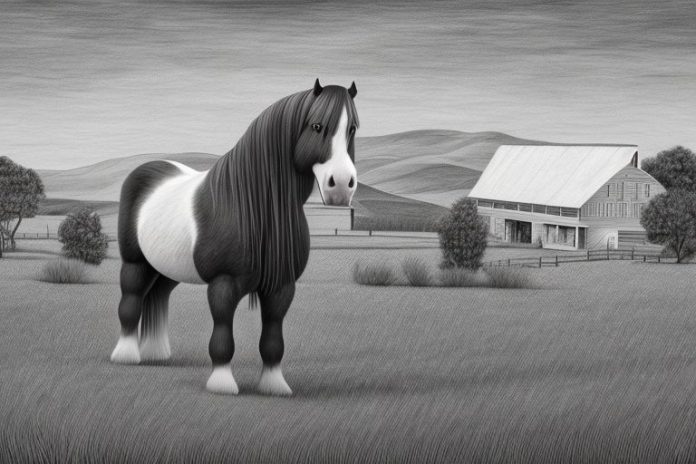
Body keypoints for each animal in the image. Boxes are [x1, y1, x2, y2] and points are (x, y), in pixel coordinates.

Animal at [110, 79, 359, 396]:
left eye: (352, 128)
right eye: (316, 126)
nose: (341, 186)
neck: (251, 206)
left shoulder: (281, 287)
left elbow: (273, 340)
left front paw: (274, 385)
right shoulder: (223, 284)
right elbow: (222, 336)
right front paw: (222, 383)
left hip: (166, 268)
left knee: (158, 295)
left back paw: (156, 352)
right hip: (136, 263)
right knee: (130, 301)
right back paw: (127, 355)